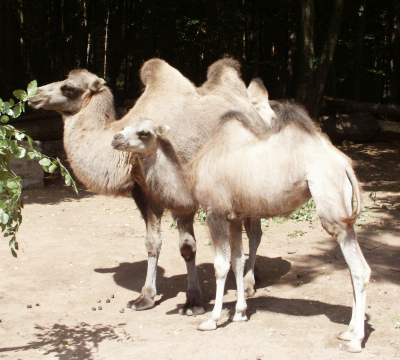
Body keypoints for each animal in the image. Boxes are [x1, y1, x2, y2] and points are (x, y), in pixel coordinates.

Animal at [27, 58, 272, 312]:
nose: (34, 94)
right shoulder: (144, 192)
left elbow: (187, 247)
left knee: (254, 231)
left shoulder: (182, 193)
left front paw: (193, 300)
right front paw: (145, 297)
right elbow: (152, 242)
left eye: (68, 87)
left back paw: (250, 283)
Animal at [115, 100, 372, 352]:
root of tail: (346, 165)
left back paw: (356, 340)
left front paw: (212, 319)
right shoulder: (235, 216)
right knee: (355, 267)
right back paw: (348, 331)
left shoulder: (216, 213)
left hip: (330, 205)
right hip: (345, 214)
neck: (192, 177)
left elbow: (221, 266)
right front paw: (240, 313)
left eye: (144, 132)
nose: (116, 138)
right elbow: (237, 261)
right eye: (127, 125)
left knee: (359, 269)